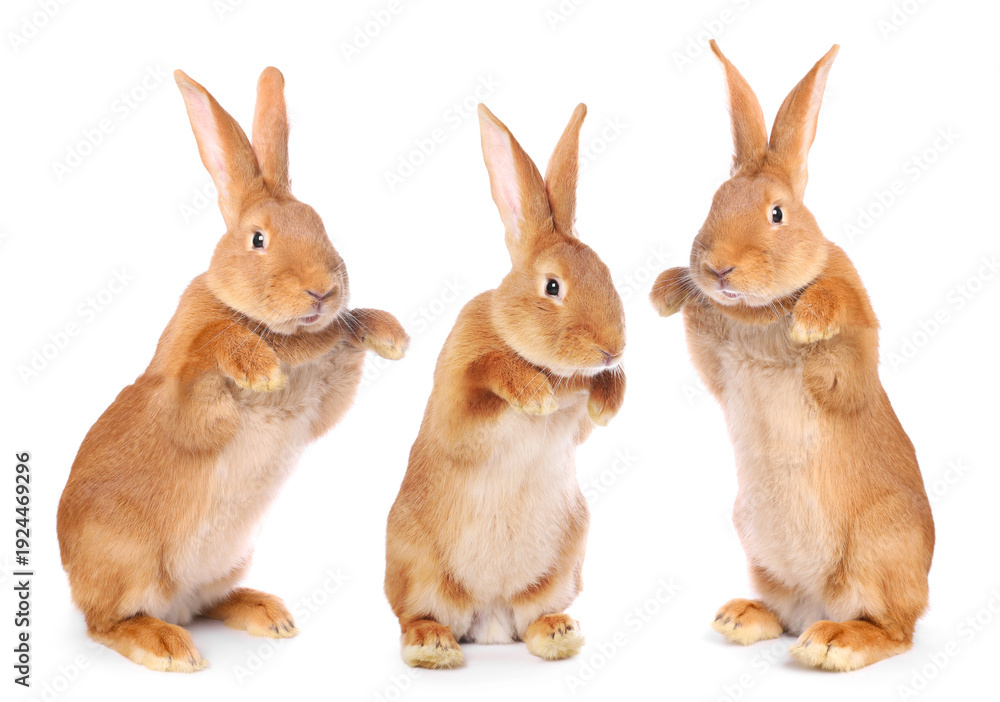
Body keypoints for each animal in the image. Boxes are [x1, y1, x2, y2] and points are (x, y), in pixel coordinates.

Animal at [56, 67, 409, 672]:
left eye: (320, 224)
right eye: (258, 239)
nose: (322, 290)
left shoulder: (321, 403)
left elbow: (347, 346)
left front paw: (389, 334)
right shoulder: (185, 398)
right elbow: (210, 350)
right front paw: (258, 366)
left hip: (229, 561)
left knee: (208, 602)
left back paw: (269, 615)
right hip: (127, 562)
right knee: (106, 623)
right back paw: (169, 648)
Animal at [384, 103, 626, 669]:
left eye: (605, 271)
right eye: (552, 286)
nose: (613, 346)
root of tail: (489, 617)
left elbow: (593, 404)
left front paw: (607, 402)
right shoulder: (457, 399)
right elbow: (487, 370)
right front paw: (534, 395)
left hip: (562, 563)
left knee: (532, 618)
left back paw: (560, 634)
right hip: (417, 566)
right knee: (414, 616)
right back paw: (433, 646)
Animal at [650, 41, 934, 672]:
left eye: (777, 213)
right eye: (715, 202)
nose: (719, 268)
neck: (759, 312)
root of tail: (816, 604)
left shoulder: (853, 359)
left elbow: (841, 328)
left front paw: (808, 320)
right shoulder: (716, 362)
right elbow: (697, 329)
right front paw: (664, 291)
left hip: (879, 548)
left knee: (894, 631)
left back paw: (834, 643)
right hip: (758, 545)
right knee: (782, 613)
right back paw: (739, 617)